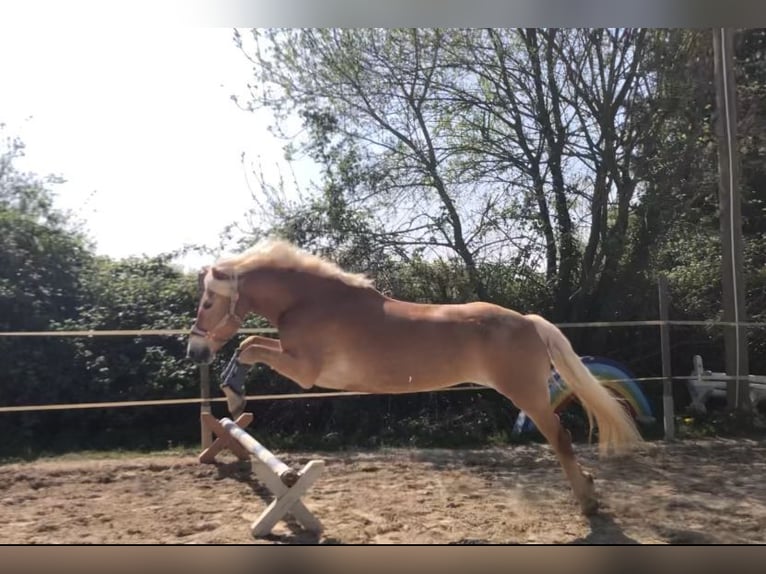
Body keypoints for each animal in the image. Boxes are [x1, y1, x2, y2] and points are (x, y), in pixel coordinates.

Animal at [187, 238, 643, 515]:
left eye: (208, 303)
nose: (195, 351)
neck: (311, 302)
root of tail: (528, 321)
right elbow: (250, 346)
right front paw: (234, 394)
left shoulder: (304, 371)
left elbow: (250, 345)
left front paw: (233, 393)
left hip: (527, 395)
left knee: (561, 438)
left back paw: (588, 502)